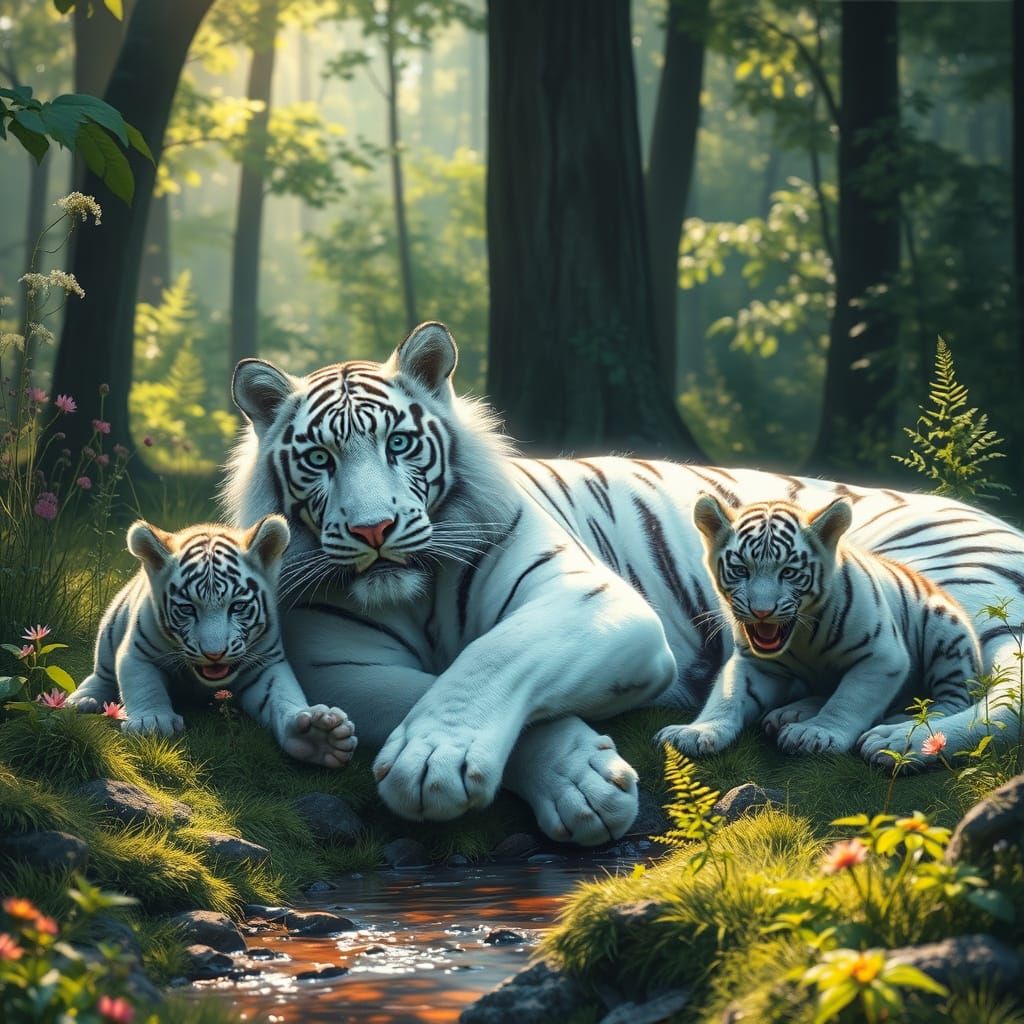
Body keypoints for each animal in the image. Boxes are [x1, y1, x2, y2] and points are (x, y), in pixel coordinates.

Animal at [67, 516, 358, 769]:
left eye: (237, 606)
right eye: (187, 609)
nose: (214, 654)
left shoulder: (266, 663)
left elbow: (282, 696)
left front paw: (317, 736)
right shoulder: (137, 653)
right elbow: (144, 684)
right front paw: (153, 721)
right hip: (110, 631)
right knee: (100, 676)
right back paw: (82, 701)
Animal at [656, 495, 981, 760]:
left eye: (789, 572)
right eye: (741, 570)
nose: (762, 612)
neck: (802, 637)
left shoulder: (882, 658)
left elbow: (849, 699)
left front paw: (817, 733)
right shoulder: (753, 662)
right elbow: (727, 697)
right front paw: (695, 733)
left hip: (945, 635)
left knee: (952, 701)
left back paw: (896, 721)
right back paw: (791, 712)